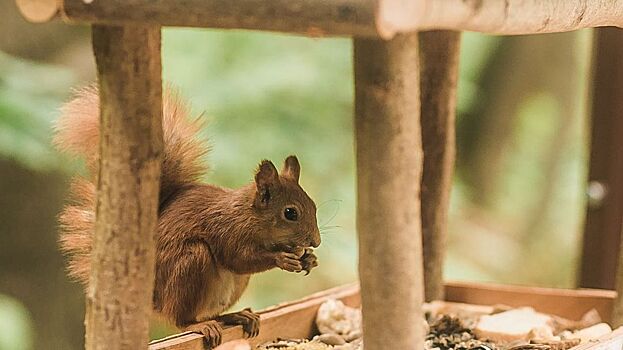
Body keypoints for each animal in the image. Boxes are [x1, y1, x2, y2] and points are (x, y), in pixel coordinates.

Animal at [54, 86, 322, 348]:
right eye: (290, 213)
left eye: (314, 206)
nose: (316, 241)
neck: (251, 216)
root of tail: (154, 298)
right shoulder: (228, 230)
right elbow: (238, 258)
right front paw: (282, 259)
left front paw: (309, 259)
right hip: (191, 262)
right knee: (182, 319)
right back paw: (200, 325)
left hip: (234, 285)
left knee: (211, 313)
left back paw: (236, 316)